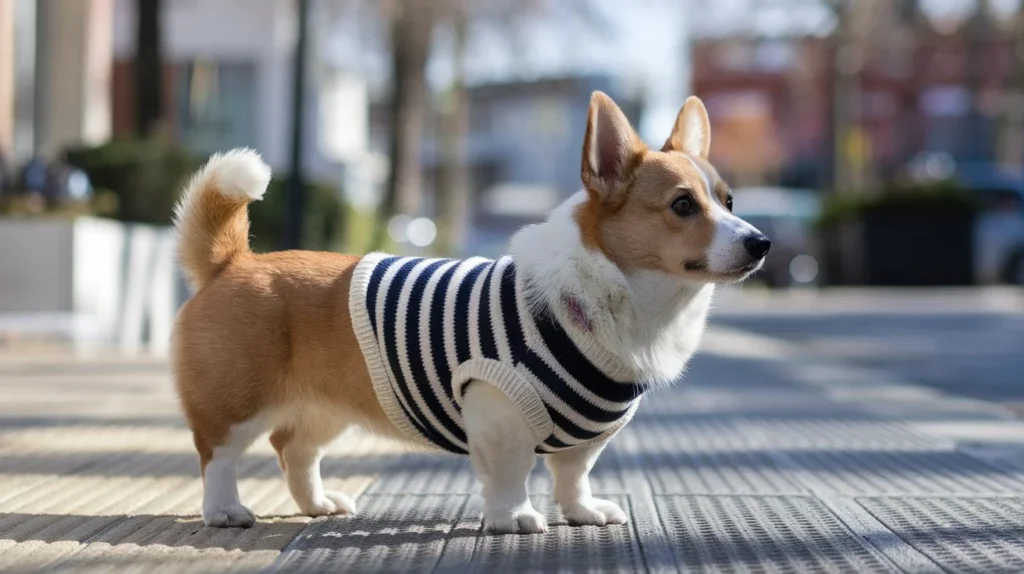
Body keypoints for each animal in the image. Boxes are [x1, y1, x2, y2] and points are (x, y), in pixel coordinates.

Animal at [174, 90, 770, 532]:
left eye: (729, 202)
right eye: (682, 205)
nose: (761, 243)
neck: (618, 294)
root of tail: (232, 259)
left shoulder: (586, 441)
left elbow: (573, 474)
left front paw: (581, 512)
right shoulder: (500, 411)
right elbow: (511, 474)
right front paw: (515, 518)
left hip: (326, 409)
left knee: (292, 448)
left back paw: (317, 504)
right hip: (238, 404)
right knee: (218, 453)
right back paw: (225, 510)